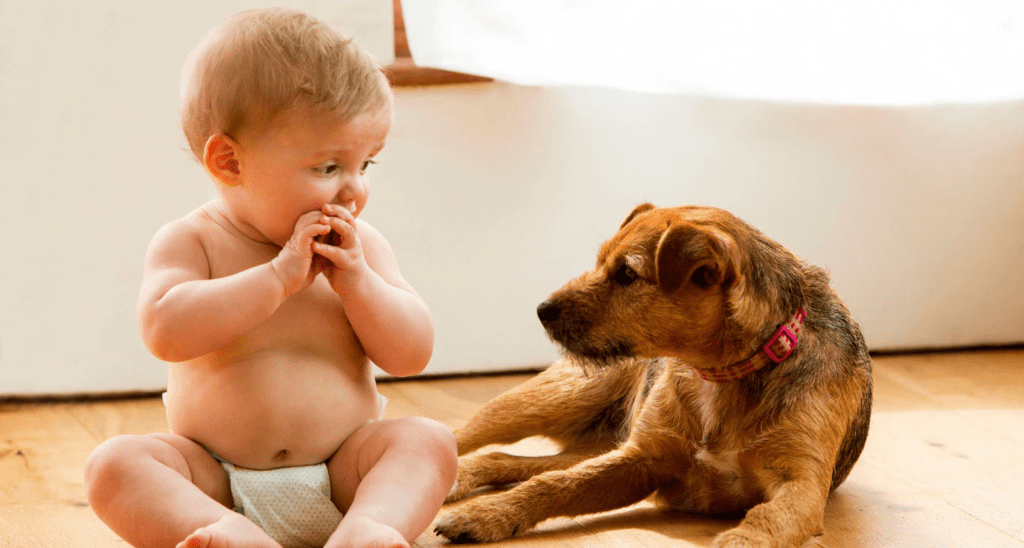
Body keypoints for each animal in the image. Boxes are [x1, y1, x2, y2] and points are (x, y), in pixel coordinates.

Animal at [432, 204, 872, 548]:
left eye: (627, 274)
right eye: (600, 262)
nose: (541, 310)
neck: (722, 373)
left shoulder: (801, 485)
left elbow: (768, 520)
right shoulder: (642, 459)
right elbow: (556, 486)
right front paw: (486, 514)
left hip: (599, 440)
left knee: (507, 459)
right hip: (554, 399)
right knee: (464, 437)